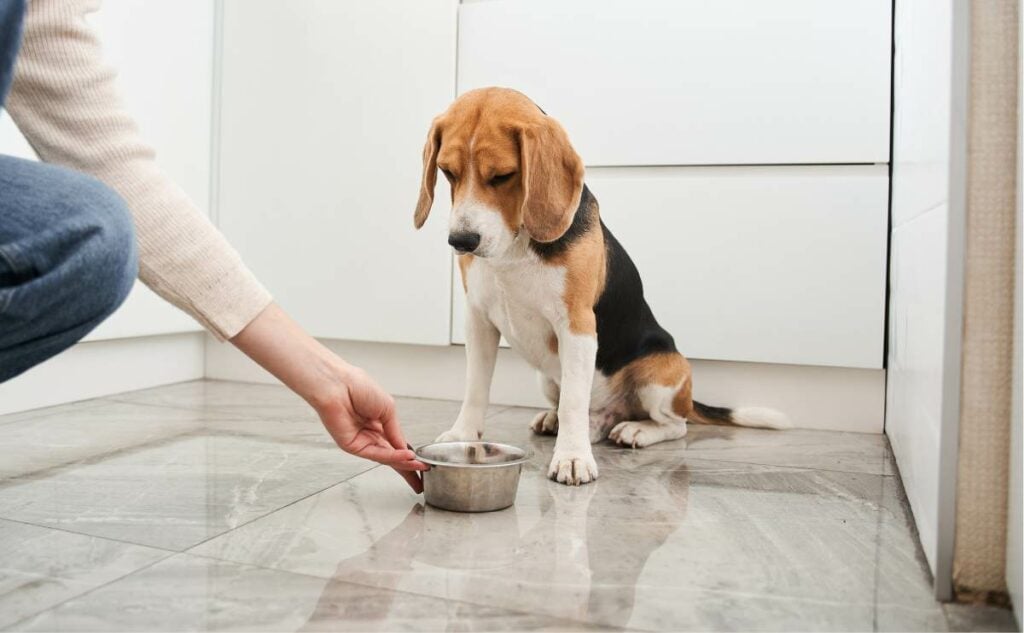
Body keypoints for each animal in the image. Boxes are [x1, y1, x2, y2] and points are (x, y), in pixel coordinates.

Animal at [411, 87, 786, 483]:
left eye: (503, 176)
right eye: (447, 172)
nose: (461, 241)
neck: (515, 245)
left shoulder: (576, 326)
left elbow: (575, 401)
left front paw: (572, 457)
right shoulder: (479, 321)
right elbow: (475, 388)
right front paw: (463, 434)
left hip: (662, 373)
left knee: (675, 424)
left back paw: (635, 430)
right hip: (547, 379)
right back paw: (561, 421)